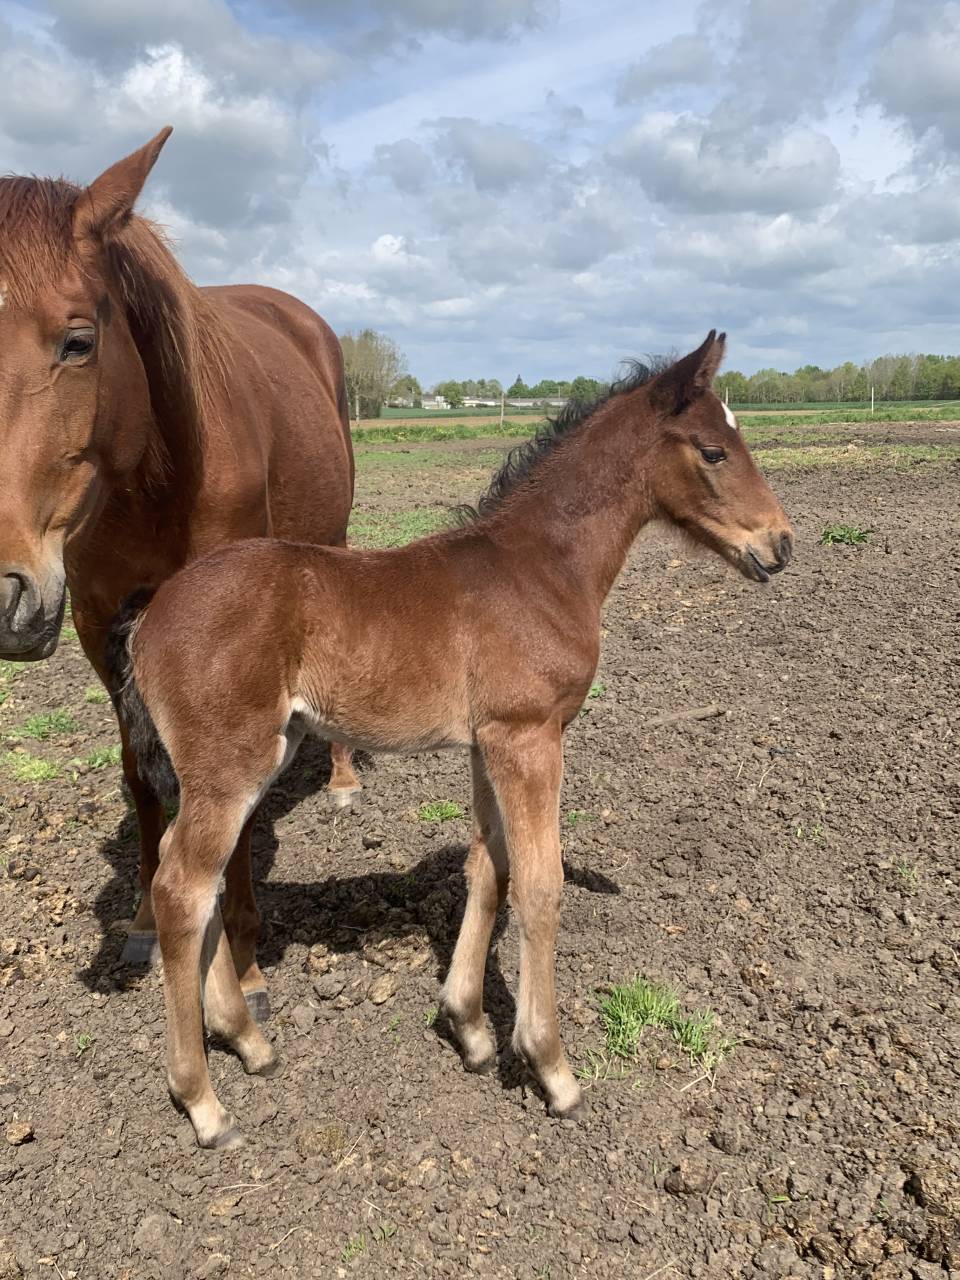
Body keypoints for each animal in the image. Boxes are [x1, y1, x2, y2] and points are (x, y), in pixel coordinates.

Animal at [0, 128, 360, 1021]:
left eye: (79, 341)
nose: (3, 596)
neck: (154, 478)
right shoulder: (98, 621)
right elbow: (141, 778)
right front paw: (138, 920)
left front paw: (249, 966)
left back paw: (341, 778)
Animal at [106, 331, 794, 1148]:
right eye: (714, 451)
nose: (782, 544)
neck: (541, 568)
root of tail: (149, 615)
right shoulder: (530, 737)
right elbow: (539, 883)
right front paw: (551, 1067)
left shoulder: (487, 743)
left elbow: (485, 868)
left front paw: (468, 1027)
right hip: (230, 766)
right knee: (180, 888)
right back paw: (204, 1102)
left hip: (243, 764)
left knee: (198, 882)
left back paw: (247, 1040)